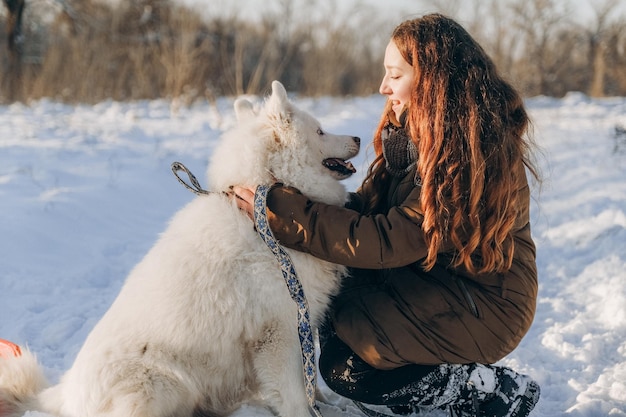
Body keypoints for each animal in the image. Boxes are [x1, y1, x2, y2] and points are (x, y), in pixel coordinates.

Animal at [0, 80, 358, 416]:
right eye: (320, 131)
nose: (356, 137)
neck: (263, 221)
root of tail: (62, 395)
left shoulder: (301, 321)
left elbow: (311, 383)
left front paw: (327, 405)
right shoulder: (278, 331)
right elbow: (295, 392)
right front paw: (308, 412)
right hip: (163, 384)